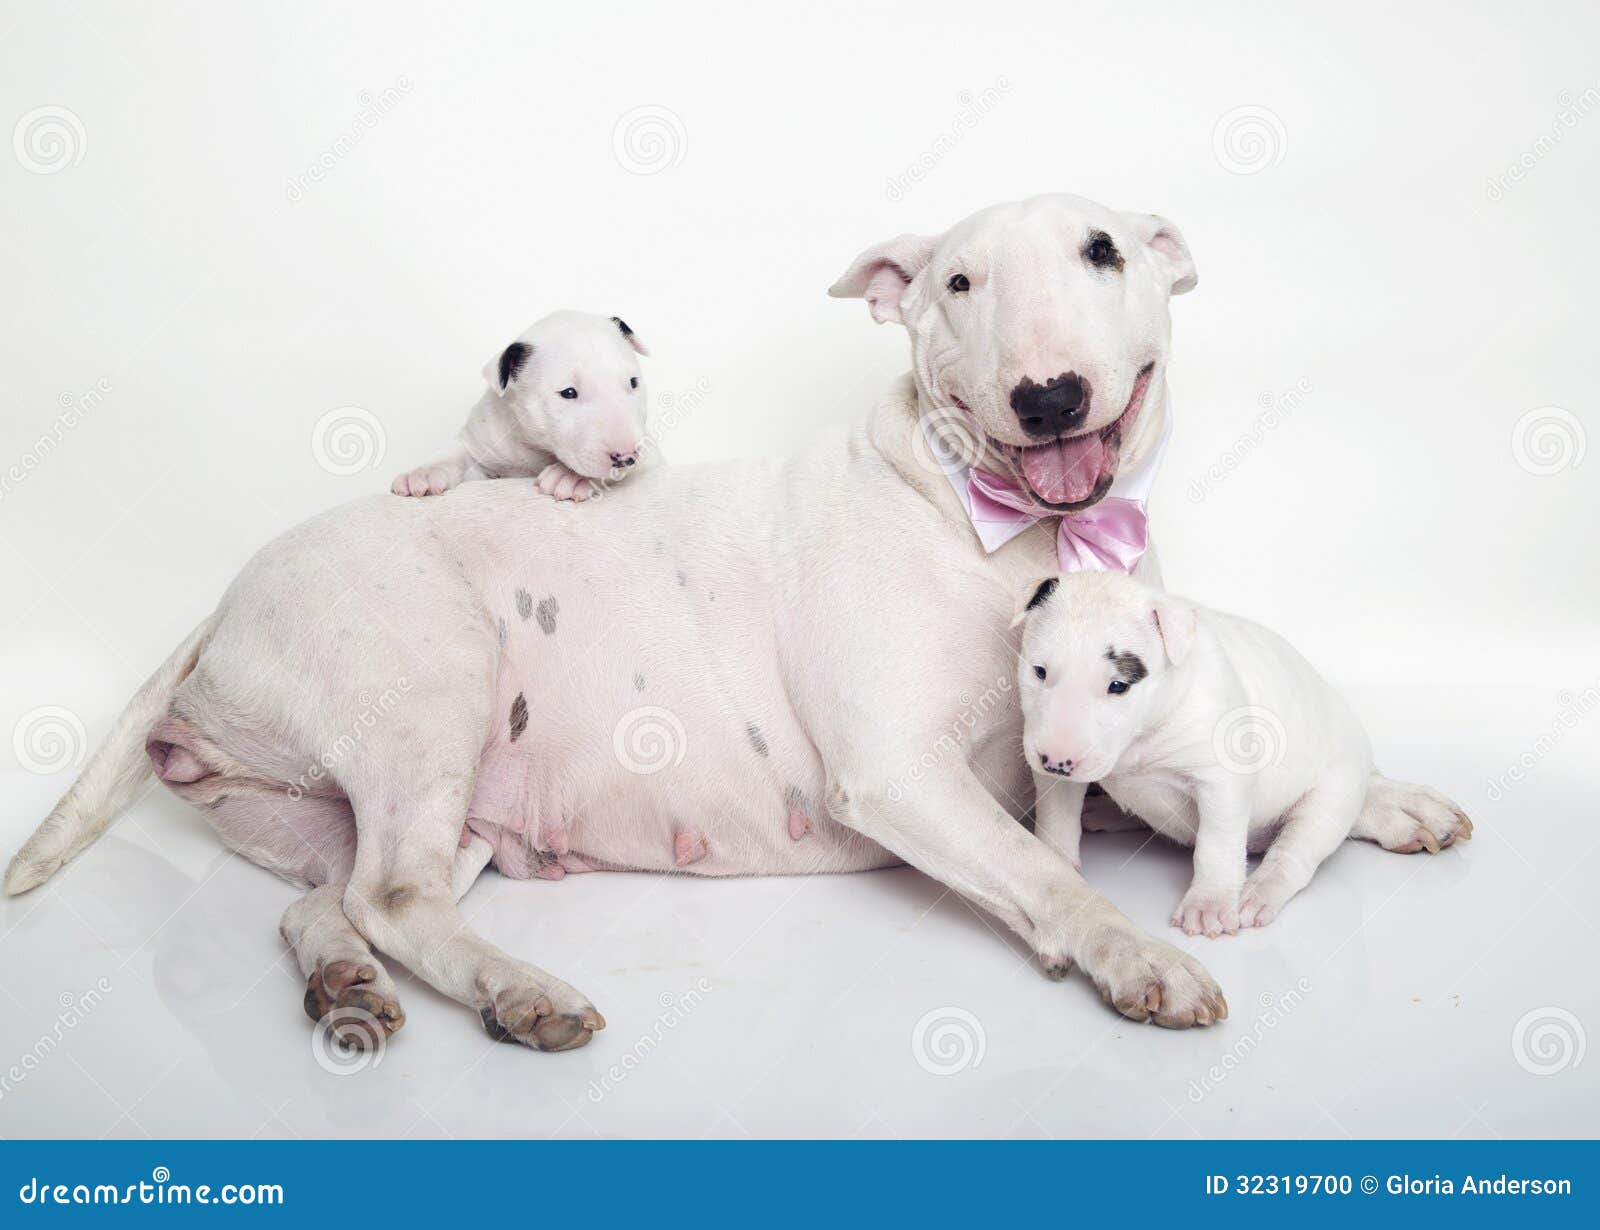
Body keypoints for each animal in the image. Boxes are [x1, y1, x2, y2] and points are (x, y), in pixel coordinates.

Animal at [390, 311, 652, 505]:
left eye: (633, 383)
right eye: (568, 393)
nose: (627, 456)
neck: (535, 447)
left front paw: (570, 476)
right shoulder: (481, 447)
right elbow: (454, 455)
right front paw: (422, 474)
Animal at [1011, 569, 1472, 934]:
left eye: (1118, 685)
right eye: (1039, 671)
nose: (1057, 761)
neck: (1141, 738)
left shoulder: (1222, 780)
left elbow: (1216, 843)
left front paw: (1209, 906)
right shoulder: (1058, 777)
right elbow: (1056, 818)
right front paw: (1056, 865)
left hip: (1331, 794)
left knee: (1296, 851)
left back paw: (1258, 893)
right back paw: (1100, 811)